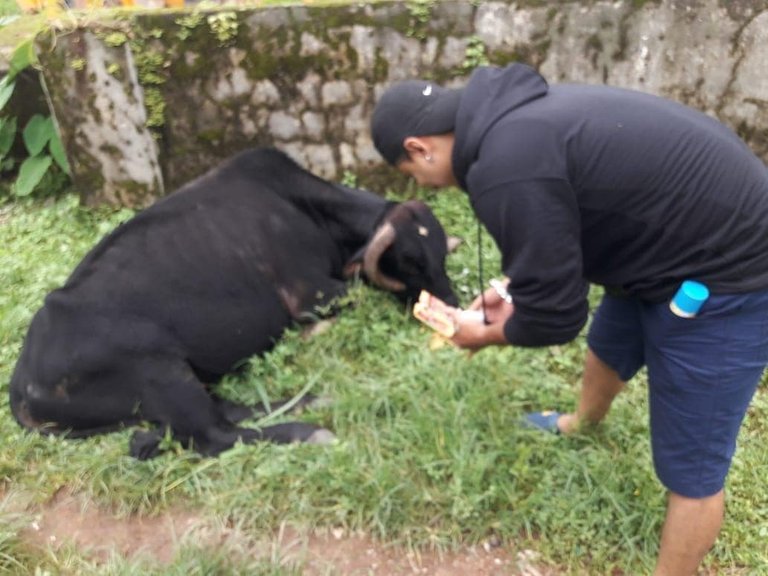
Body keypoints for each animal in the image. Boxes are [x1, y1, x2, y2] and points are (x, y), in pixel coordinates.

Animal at [9, 147, 460, 460]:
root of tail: (21, 378)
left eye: (441, 253)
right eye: (410, 260)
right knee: (214, 434)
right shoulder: (308, 293)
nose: (452, 304)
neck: (304, 208)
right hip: (158, 369)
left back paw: (315, 400)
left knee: (228, 410)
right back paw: (309, 430)